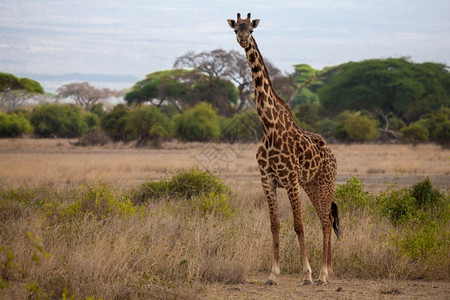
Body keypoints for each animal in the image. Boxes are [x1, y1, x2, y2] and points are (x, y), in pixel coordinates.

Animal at [229, 13, 342, 286]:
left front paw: (307, 274)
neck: (268, 128)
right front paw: (273, 274)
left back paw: (323, 275)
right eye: (236, 29)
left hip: (326, 181)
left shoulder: (290, 179)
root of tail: (332, 155)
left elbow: (298, 225)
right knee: (325, 218)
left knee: (326, 220)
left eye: (251, 29)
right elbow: (275, 226)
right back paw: (328, 271)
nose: (243, 40)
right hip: (311, 184)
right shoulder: (267, 179)